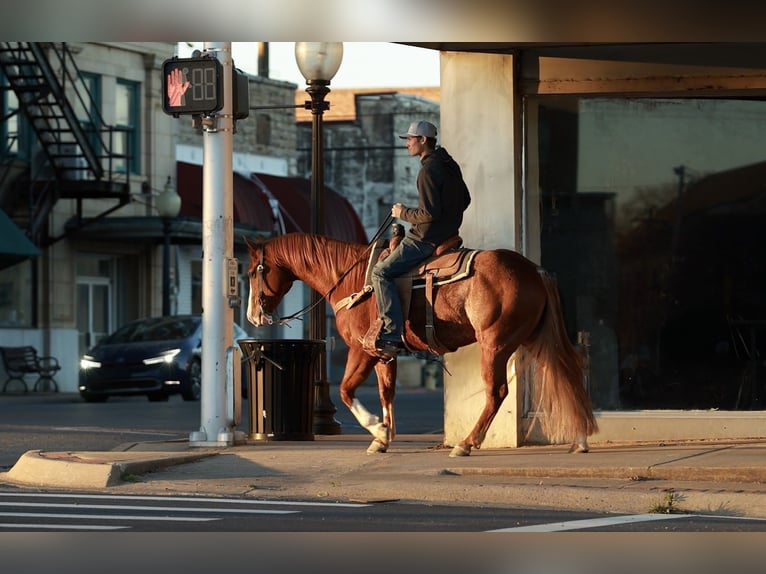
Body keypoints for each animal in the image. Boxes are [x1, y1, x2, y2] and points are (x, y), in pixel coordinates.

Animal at [245, 232, 597, 457]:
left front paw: (377, 429)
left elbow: (346, 391)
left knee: (497, 392)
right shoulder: (384, 355)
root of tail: (534, 270)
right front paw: (383, 437)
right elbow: (386, 392)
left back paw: (467, 443)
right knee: (564, 373)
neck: (352, 280)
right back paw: (580, 438)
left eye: (252, 271)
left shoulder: (362, 349)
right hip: (532, 337)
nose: (252, 316)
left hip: (495, 344)